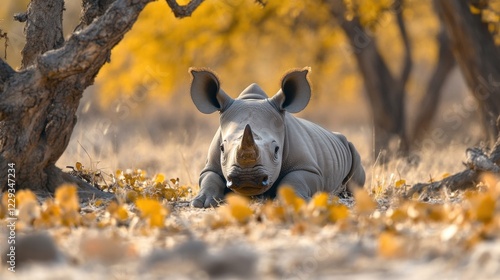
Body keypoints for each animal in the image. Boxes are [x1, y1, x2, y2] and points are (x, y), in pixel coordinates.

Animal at [189, 67, 366, 208]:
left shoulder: (309, 167)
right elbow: (209, 177)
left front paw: (295, 200)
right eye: (222, 148)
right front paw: (200, 202)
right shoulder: (211, 165)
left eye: (276, 150)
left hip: (348, 144)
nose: (247, 179)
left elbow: (294, 179)